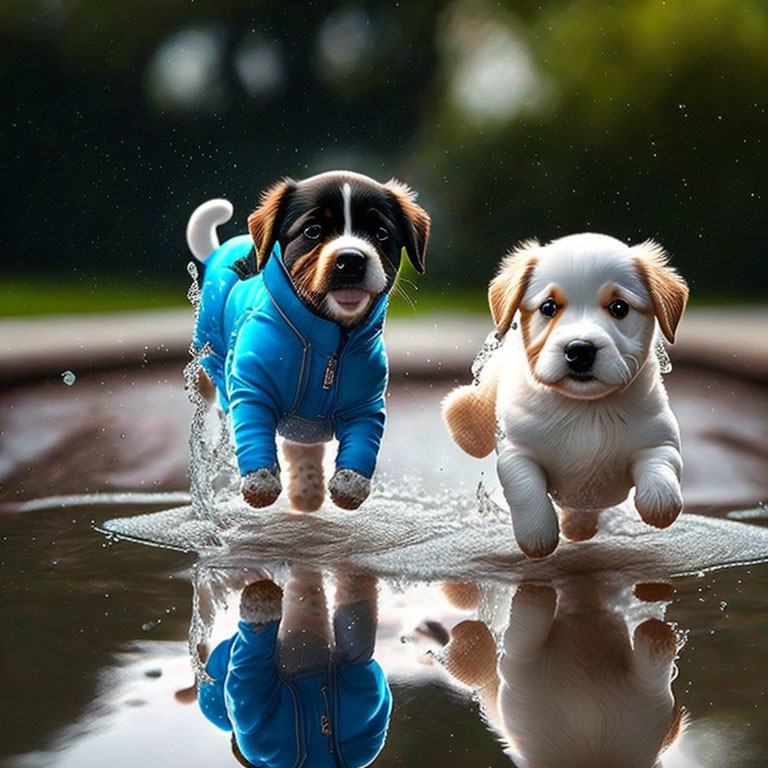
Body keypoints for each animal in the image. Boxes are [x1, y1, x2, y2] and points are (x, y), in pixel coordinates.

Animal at [184, 171, 428, 512]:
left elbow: (362, 445)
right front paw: (260, 483)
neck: (332, 341)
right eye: (313, 231)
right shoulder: (253, 390)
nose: (351, 260)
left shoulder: (365, 406)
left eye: (381, 234)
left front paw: (349, 487)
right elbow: (254, 433)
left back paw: (307, 491)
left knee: (302, 446)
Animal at [444, 234, 688, 560]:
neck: (586, 408)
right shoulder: (517, 452)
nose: (580, 350)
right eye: (548, 307)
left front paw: (657, 506)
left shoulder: (658, 440)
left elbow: (661, 483)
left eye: (619, 307)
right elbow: (528, 492)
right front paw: (537, 535)